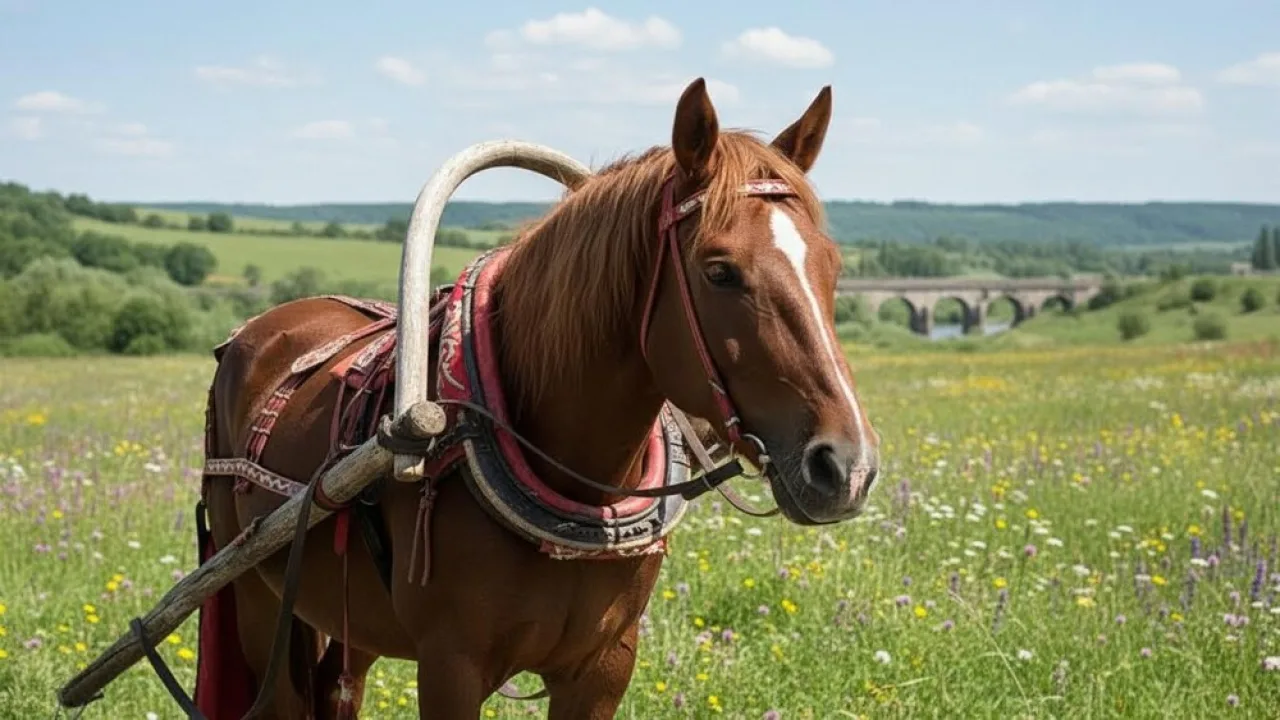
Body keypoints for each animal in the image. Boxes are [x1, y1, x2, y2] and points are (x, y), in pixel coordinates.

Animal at [194, 77, 881, 720]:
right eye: (719, 270)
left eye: (833, 267)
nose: (846, 467)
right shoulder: (450, 667)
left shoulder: (603, 667)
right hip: (259, 603)